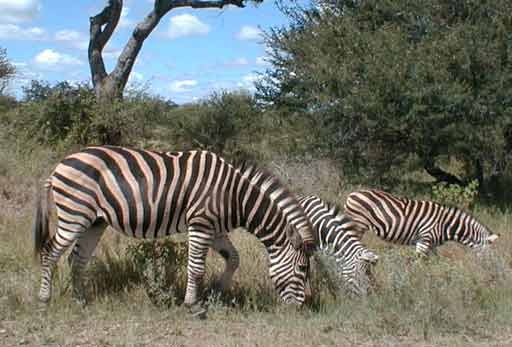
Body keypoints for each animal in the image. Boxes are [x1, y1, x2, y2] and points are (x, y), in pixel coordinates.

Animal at [32, 145, 316, 312]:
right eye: (302, 269)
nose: (302, 308)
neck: (234, 196)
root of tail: (60, 165)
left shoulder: (215, 229)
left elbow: (234, 258)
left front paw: (216, 292)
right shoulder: (200, 223)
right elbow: (196, 267)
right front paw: (193, 305)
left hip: (94, 221)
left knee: (76, 259)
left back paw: (80, 300)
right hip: (74, 214)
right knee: (50, 252)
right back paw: (44, 299)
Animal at [342, 189, 498, 256]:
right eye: (489, 254)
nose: (489, 271)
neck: (446, 225)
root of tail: (352, 194)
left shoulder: (432, 245)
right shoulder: (424, 240)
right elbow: (418, 263)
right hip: (358, 224)